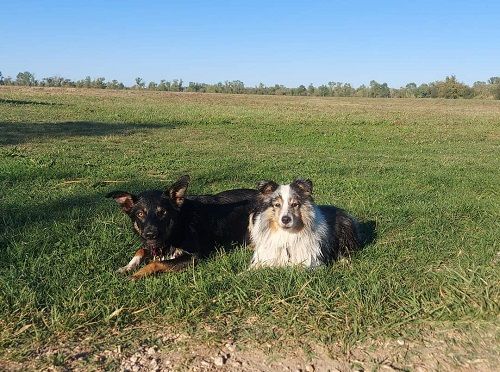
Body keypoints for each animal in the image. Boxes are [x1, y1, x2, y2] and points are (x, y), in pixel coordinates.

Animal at [106, 175, 258, 280]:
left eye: (163, 212)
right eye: (140, 214)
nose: (150, 234)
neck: (179, 225)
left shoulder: (194, 256)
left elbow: (156, 263)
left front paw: (137, 274)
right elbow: (141, 250)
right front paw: (127, 267)